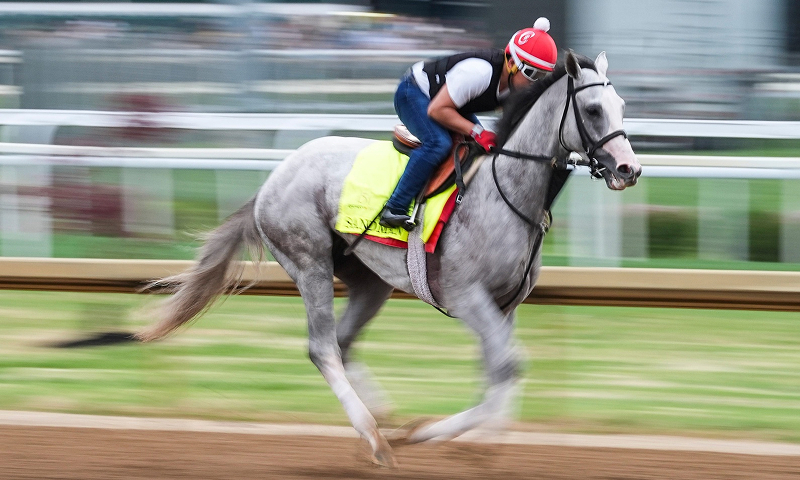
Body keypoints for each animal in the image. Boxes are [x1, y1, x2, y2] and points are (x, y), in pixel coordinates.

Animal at [136, 50, 641, 467]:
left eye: (621, 108)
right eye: (593, 110)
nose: (629, 169)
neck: (507, 192)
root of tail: (270, 181)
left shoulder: (504, 305)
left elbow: (498, 369)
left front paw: (460, 439)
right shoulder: (466, 296)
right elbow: (507, 366)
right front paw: (447, 438)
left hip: (369, 281)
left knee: (343, 342)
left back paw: (386, 422)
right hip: (309, 262)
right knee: (323, 348)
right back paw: (377, 438)